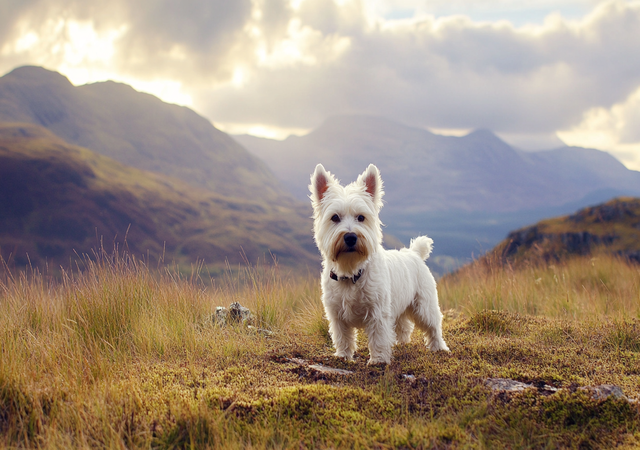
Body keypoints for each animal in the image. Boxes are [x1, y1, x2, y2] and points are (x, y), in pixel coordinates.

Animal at [310, 163, 450, 364]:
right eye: (334, 217)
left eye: (361, 217)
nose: (351, 237)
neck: (351, 271)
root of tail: (415, 253)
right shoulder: (337, 315)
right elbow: (343, 337)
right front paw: (343, 356)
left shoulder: (378, 312)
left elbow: (378, 337)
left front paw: (378, 360)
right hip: (400, 306)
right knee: (404, 325)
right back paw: (402, 343)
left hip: (424, 305)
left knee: (433, 326)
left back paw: (439, 347)